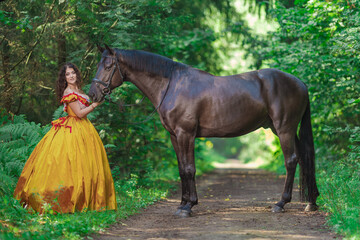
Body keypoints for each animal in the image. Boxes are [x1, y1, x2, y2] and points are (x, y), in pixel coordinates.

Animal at [88, 45, 320, 218]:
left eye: (108, 65)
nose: (93, 94)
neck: (172, 85)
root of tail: (300, 83)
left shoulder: (186, 134)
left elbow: (190, 168)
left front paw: (188, 206)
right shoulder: (174, 136)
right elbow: (182, 169)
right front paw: (182, 203)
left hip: (284, 128)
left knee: (291, 161)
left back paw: (281, 203)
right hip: (283, 129)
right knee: (304, 158)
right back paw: (311, 202)